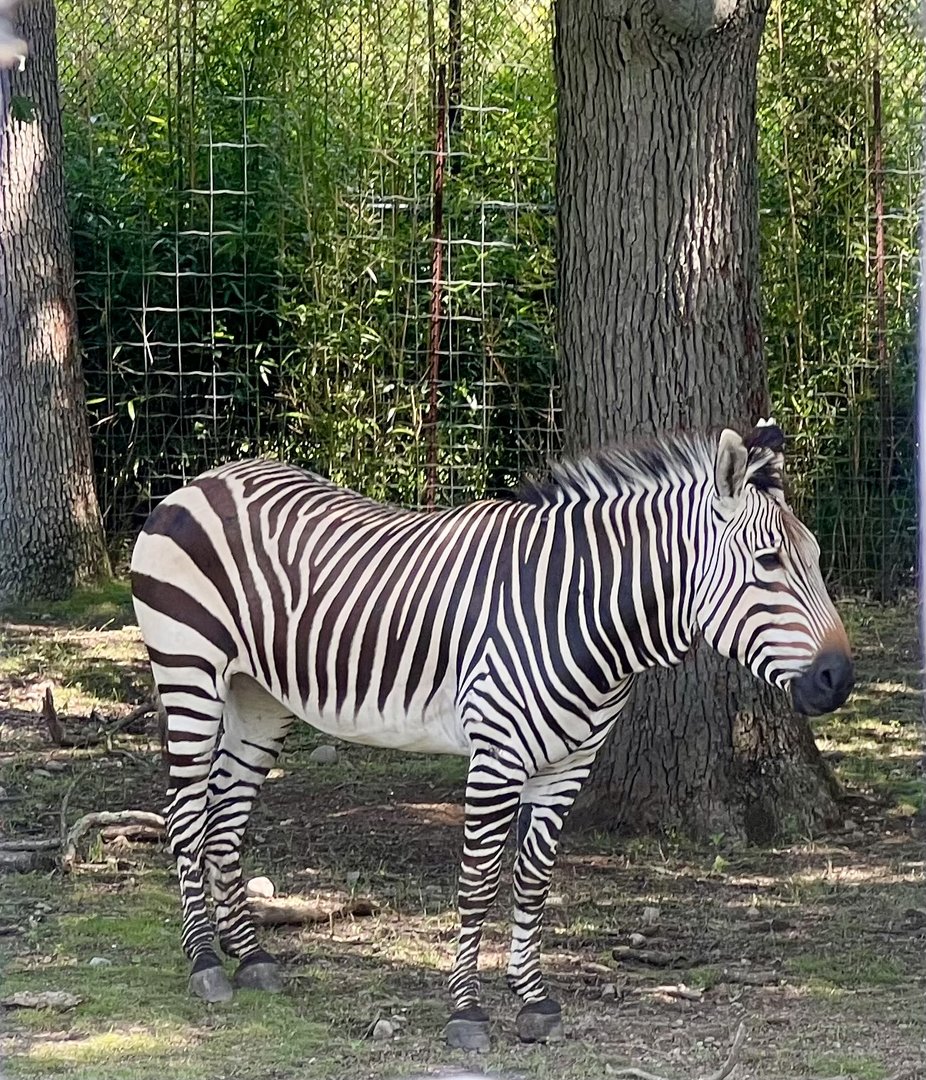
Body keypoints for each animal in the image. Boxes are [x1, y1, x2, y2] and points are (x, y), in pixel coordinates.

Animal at [130, 419, 853, 1050]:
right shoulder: (497, 756)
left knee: (226, 821)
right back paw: (206, 963)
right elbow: (478, 882)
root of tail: (207, 478)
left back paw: (250, 956)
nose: (839, 679)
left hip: (258, 697)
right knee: (187, 818)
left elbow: (533, 881)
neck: (583, 613)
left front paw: (533, 1000)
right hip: (189, 672)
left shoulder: (569, 765)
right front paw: (467, 1012)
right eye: (767, 562)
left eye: (817, 558)